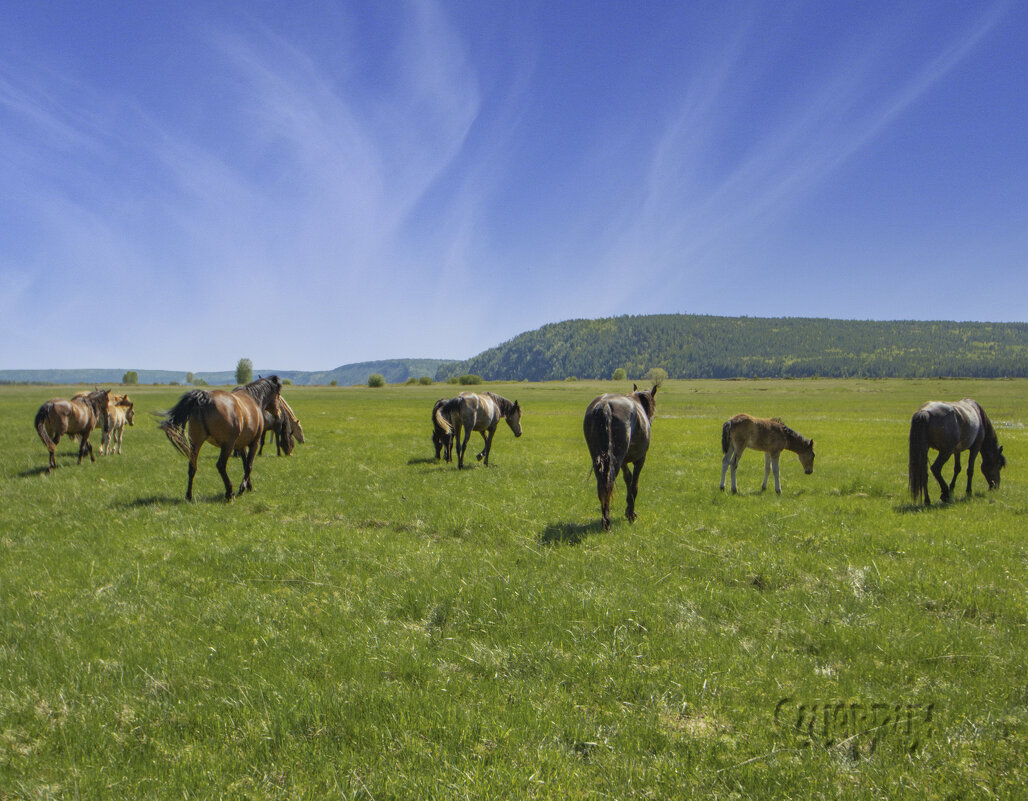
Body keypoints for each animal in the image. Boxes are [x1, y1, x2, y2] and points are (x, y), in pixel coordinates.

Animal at [579, 384, 657, 530]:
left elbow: (628, 479)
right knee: (608, 483)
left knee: (601, 485)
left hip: (599, 459)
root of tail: (604, 405)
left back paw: (605, 520)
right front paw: (631, 514)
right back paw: (607, 523)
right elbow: (634, 485)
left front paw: (629, 510)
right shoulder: (640, 459)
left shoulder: (624, 462)